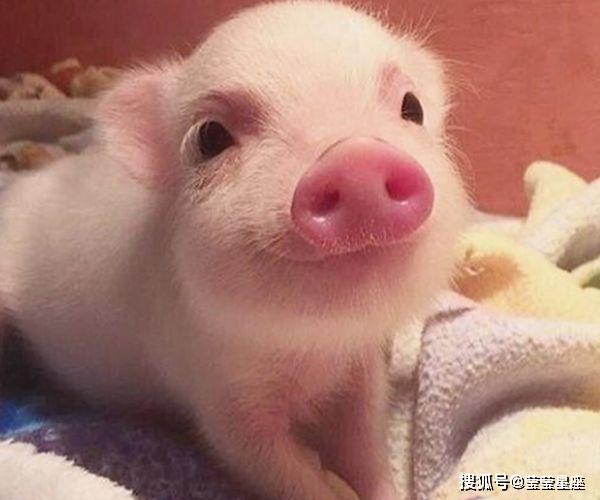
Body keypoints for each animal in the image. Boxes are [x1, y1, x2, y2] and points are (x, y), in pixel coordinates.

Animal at [0, 1, 469, 499]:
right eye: (210, 137)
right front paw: (327, 483)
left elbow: (365, 443)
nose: (357, 156)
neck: (312, 350)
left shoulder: (360, 369)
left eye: (411, 107)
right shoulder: (219, 396)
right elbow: (273, 466)